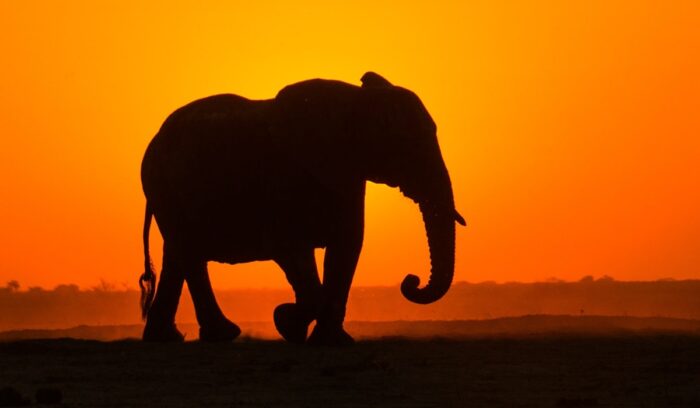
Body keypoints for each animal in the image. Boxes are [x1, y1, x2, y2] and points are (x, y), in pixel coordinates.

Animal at [139, 72, 466, 345]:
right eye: (407, 144)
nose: (411, 280)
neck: (355, 102)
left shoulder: (348, 174)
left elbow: (346, 247)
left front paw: (331, 341)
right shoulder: (283, 175)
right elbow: (290, 247)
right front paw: (287, 322)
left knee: (177, 256)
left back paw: (167, 339)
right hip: (163, 186)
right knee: (189, 254)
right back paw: (222, 335)